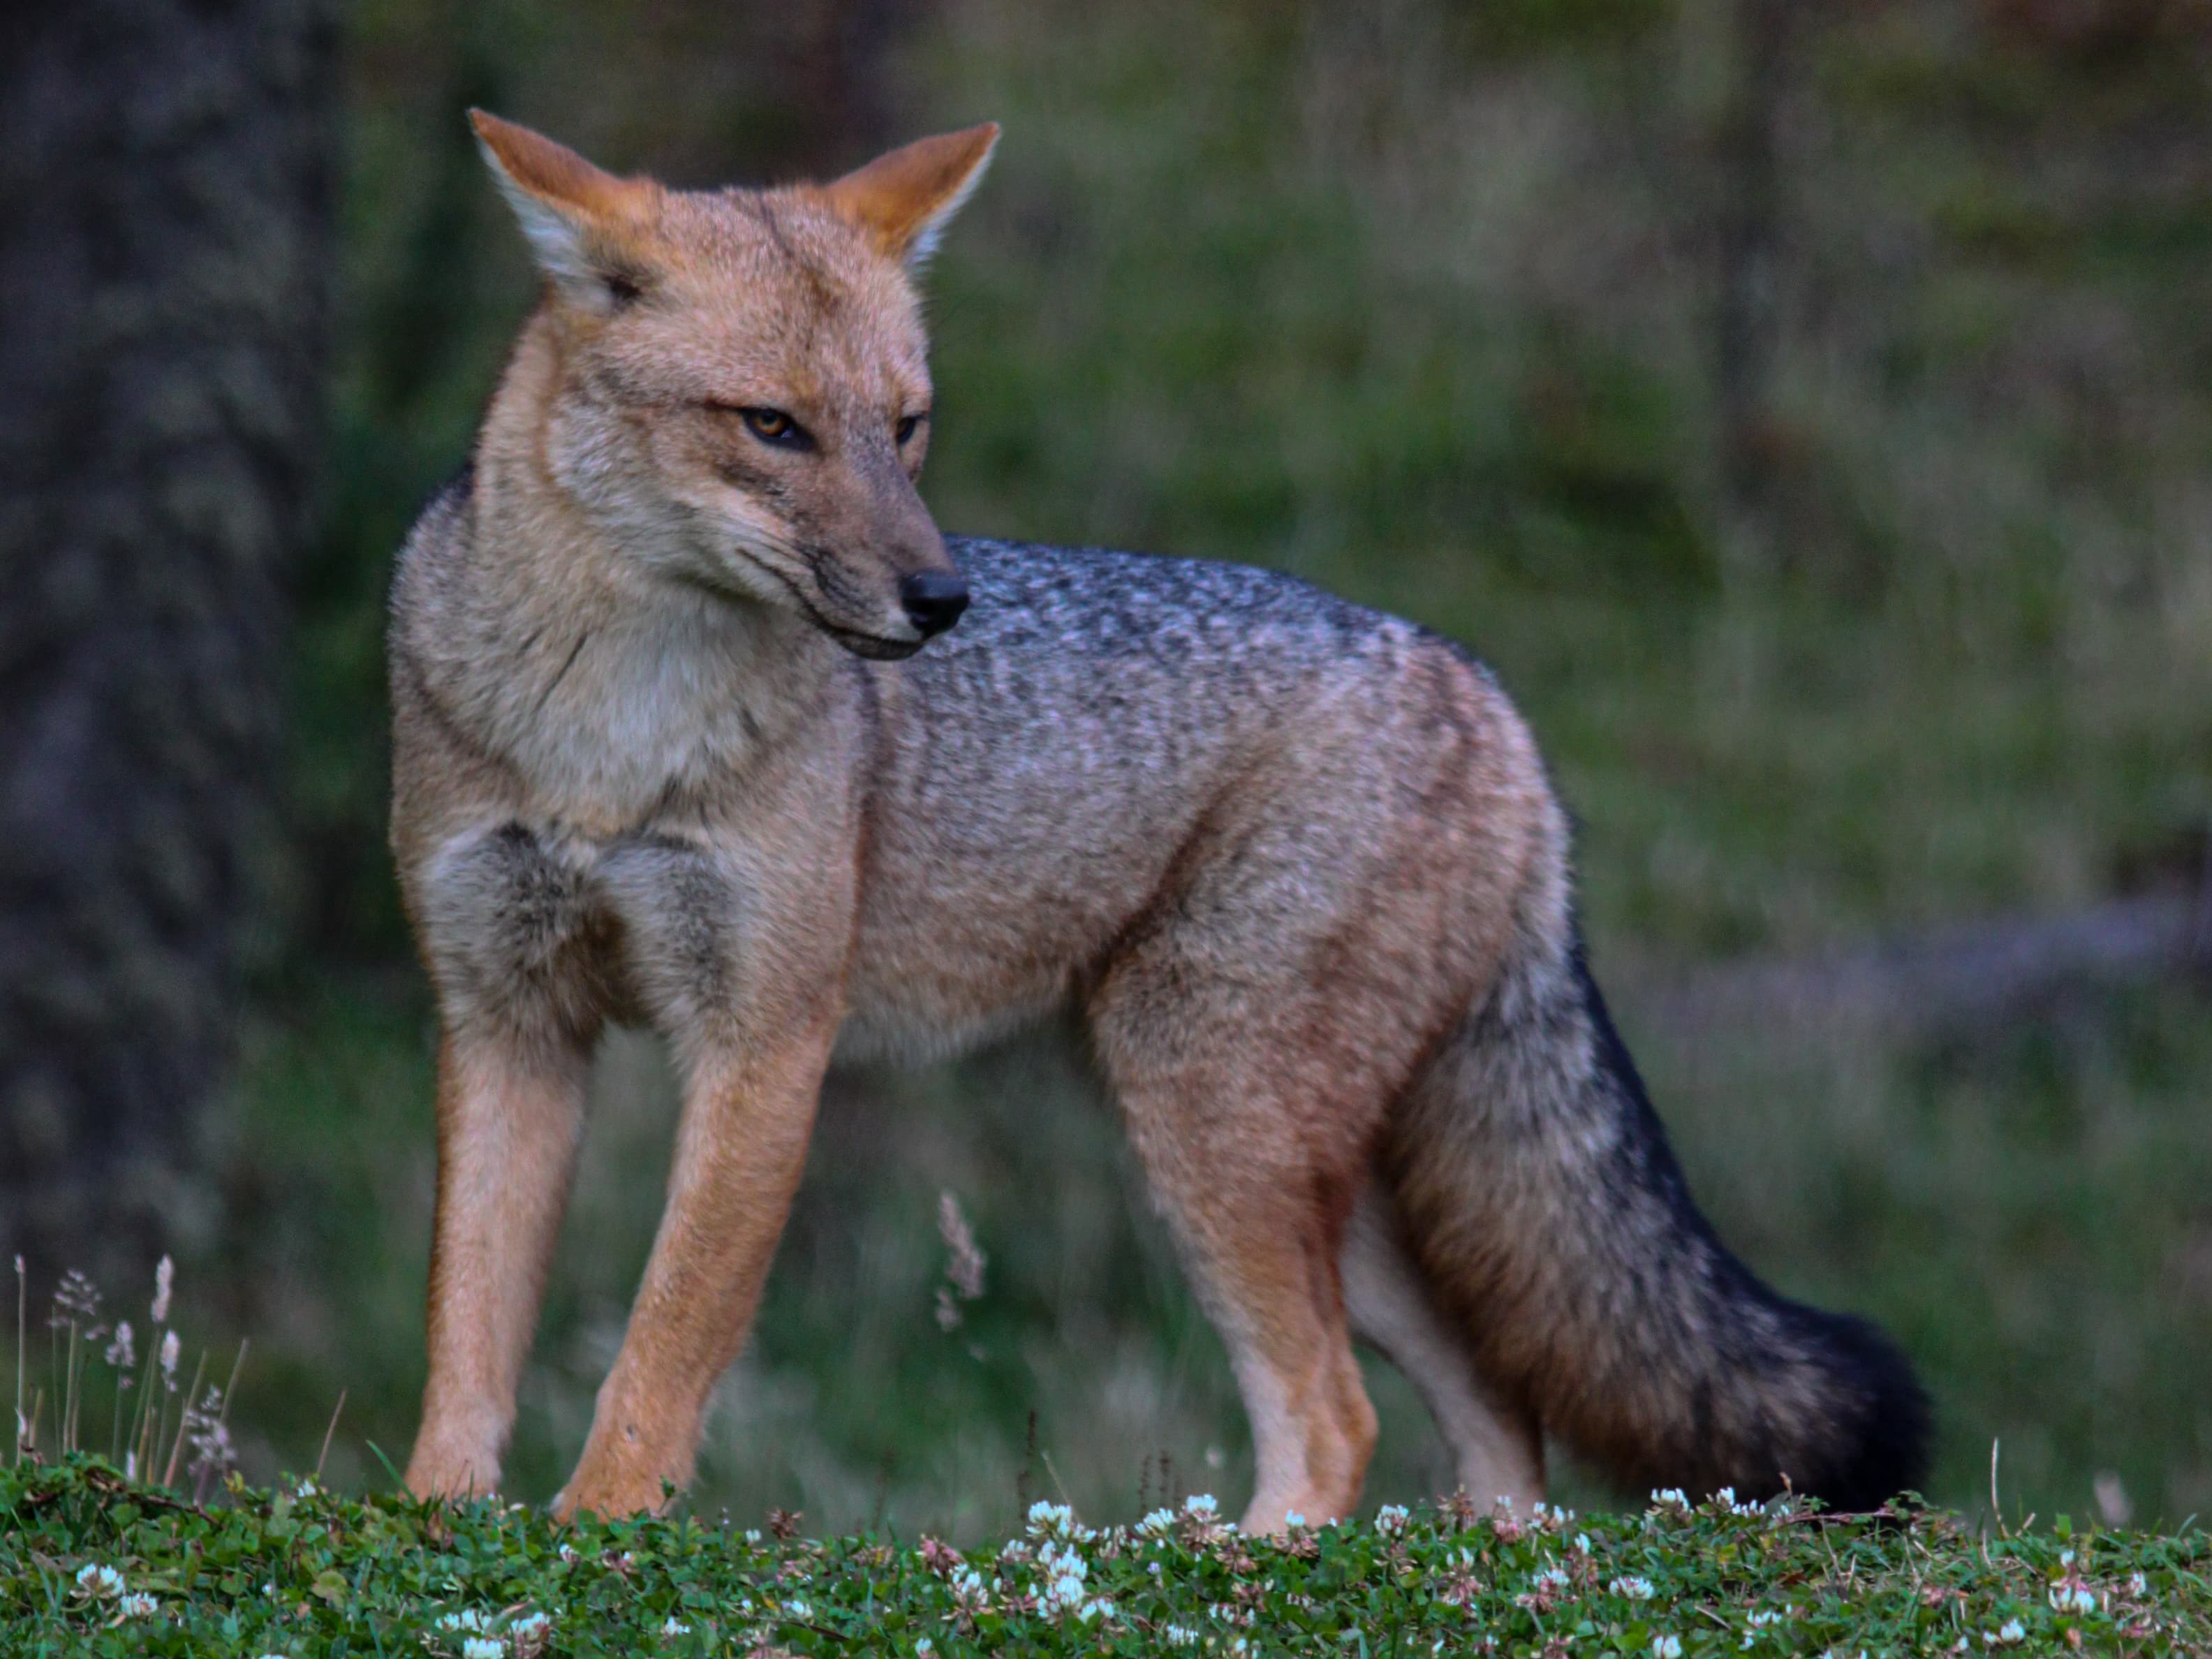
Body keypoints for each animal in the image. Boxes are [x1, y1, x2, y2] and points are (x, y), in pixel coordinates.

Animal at [389, 109, 1930, 1531]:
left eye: (907, 425)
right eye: (773, 426)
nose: (942, 602)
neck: (608, 740)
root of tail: (1482, 691)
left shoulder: (765, 1039)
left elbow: (662, 1348)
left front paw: (600, 1535)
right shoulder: (504, 1016)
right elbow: (466, 1341)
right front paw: (436, 1522)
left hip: (1206, 1120)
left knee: (1338, 1417)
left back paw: (1240, 1567)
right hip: (1304, 1180)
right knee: (1495, 1422)